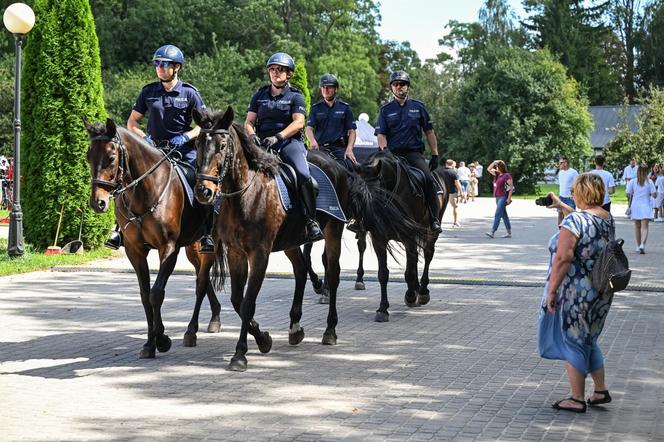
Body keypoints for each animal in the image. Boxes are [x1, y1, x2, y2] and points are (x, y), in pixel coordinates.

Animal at [85, 119, 223, 358]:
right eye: (87, 156)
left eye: (111, 157)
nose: (98, 202)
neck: (144, 191)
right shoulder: (135, 251)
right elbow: (144, 295)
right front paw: (149, 344)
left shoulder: (168, 248)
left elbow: (156, 294)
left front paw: (162, 339)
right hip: (192, 247)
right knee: (202, 279)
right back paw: (214, 318)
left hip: (209, 246)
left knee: (201, 283)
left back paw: (191, 331)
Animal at [356, 151, 448, 322]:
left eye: (375, 191)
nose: (367, 221)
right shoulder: (378, 239)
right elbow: (383, 274)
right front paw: (383, 308)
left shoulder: (408, 237)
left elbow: (409, 272)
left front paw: (411, 296)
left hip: (430, 231)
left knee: (427, 254)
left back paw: (422, 291)